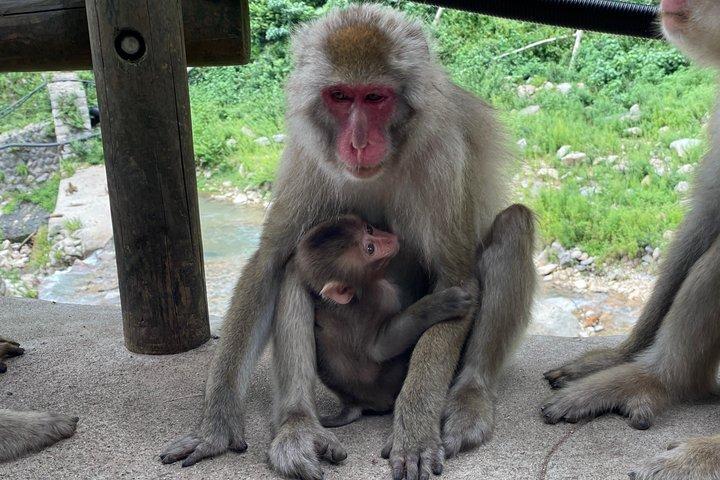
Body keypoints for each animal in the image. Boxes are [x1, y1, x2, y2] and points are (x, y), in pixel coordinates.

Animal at [293, 215, 474, 428]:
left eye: (369, 229)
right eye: (370, 249)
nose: (389, 239)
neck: (357, 294)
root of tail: (353, 402)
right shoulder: (381, 297)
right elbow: (379, 348)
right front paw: (441, 304)